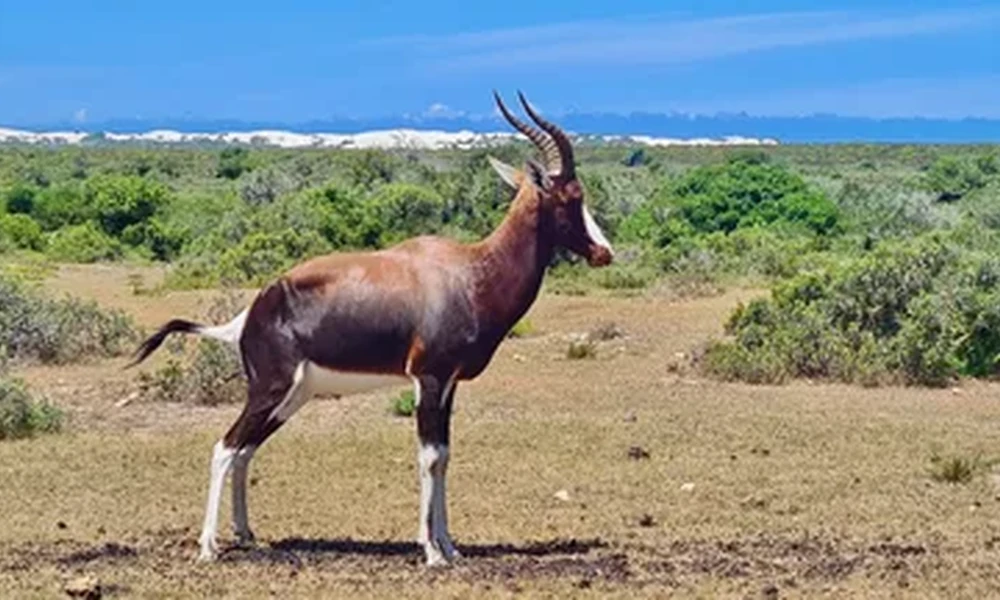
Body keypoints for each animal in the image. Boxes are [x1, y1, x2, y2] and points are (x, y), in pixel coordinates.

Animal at [129, 91, 614, 566]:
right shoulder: (428, 378)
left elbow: (445, 455)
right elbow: (429, 456)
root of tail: (250, 312)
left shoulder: (450, 384)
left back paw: (247, 535)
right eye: (572, 195)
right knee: (225, 447)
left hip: (292, 397)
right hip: (270, 389)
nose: (604, 252)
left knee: (246, 450)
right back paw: (208, 548)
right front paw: (431, 552)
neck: (469, 270)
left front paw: (449, 545)